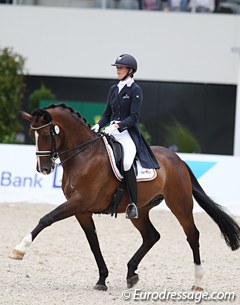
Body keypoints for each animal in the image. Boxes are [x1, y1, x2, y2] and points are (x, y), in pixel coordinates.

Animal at [8, 102, 239, 290]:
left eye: (47, 135)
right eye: (32, 136)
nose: (44, 169)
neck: (84, 156)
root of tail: (178, 159)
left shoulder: (79, 202)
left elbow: (46, 218)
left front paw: (19, 249)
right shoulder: (82, 210)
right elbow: (93, 243)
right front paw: (102, 280)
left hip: (180, 204)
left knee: (192, 235)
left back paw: (197, 281)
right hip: (140, 210)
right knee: (151, 236)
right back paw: (131, 274)